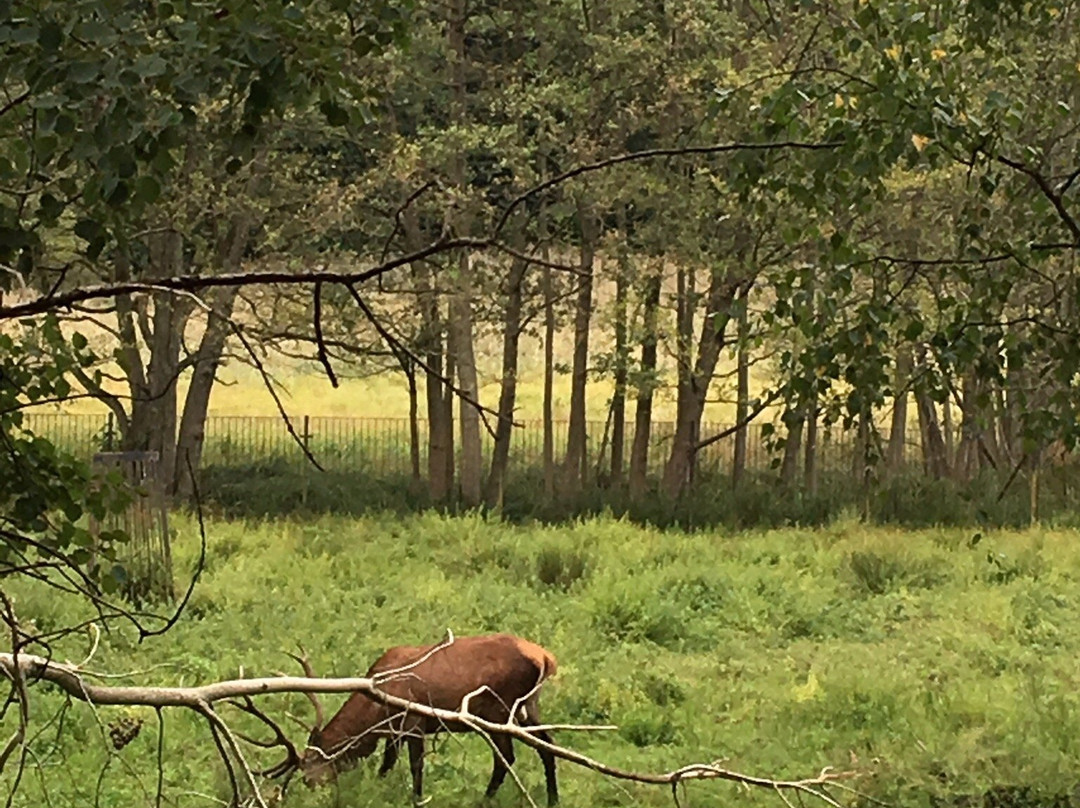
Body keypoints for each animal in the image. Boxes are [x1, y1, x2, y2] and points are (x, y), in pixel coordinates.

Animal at [270, 635, 561, 803]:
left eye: (307, 773)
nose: (312, 793)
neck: (375, 711)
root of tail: (545, 658)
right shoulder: (393, 731)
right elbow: (386, 765)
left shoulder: (413, 722)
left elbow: (415, 767)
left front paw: (416, 799)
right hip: (528, 708)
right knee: (548, 746)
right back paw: (553, 799)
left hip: (499, 709)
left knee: (506, 758)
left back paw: (484, 800)